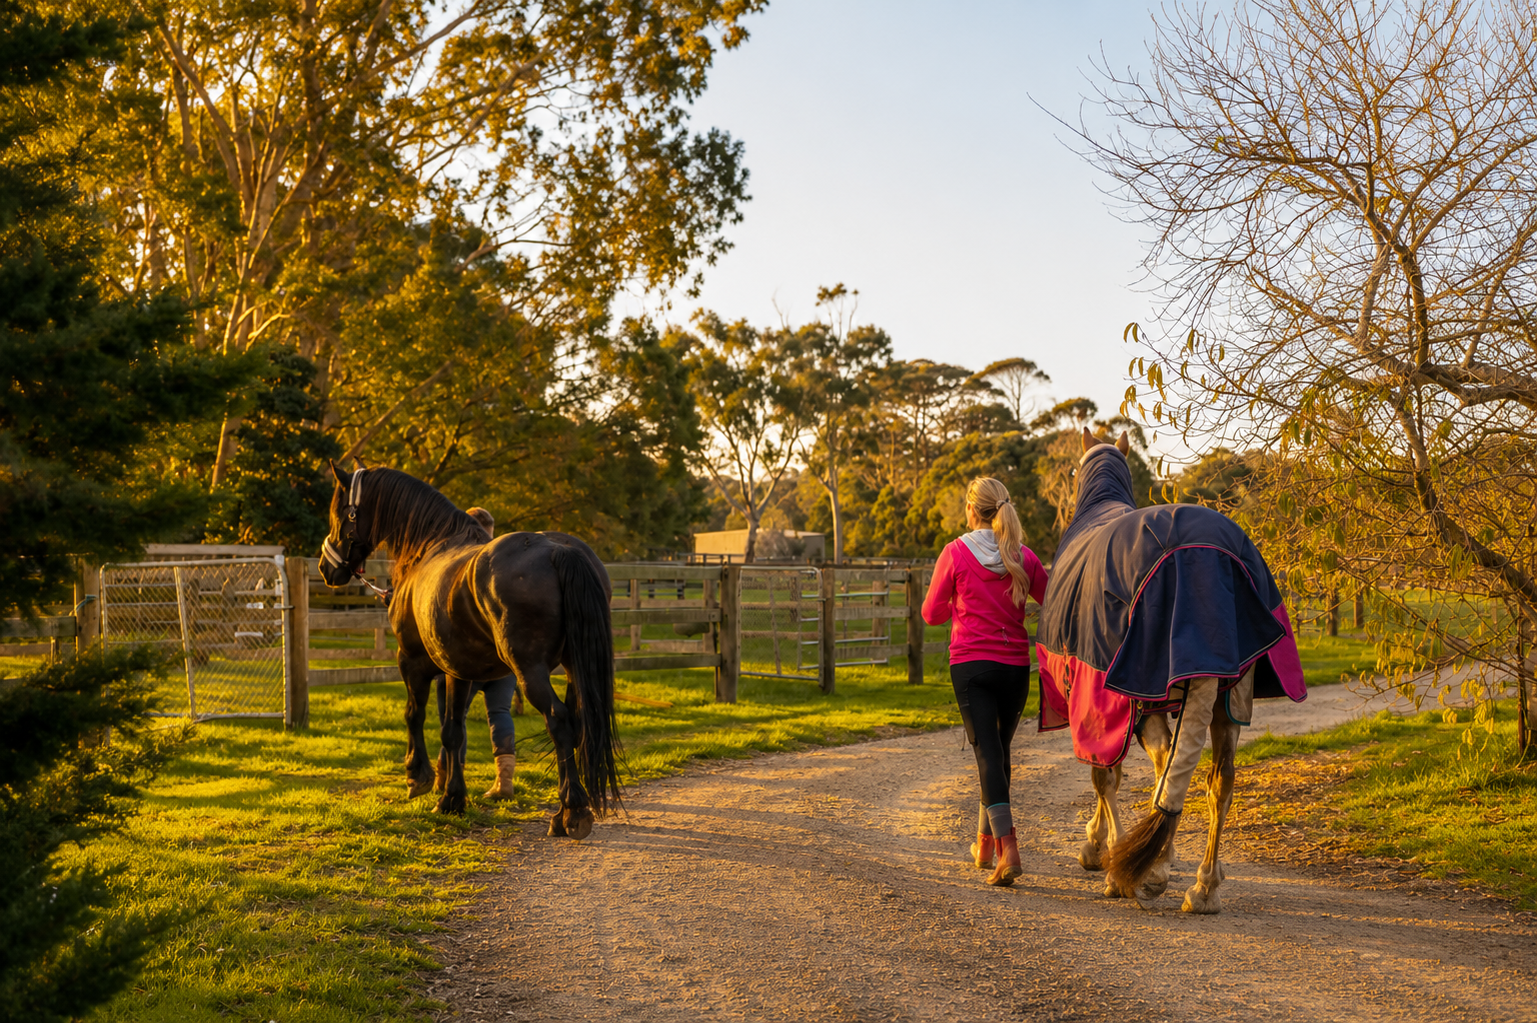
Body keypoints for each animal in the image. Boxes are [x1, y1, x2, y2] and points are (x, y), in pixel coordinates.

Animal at [315, 463, 620, 836]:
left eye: (340, 513)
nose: (326, 568)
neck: (430, 545)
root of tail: (558, 550)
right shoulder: (458, 670)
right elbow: (453, 732)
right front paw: (453, 798)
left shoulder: (412, 661)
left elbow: (414, 715)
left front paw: (418, 776)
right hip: (576, 666)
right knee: (576, 724)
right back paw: (562, 813)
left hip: (530, 671)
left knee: (558, 721)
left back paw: (573, 812)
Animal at [1035, 429, 1306, 913]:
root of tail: (1203, 558)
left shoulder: (1104, 702)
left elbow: (1106, 775)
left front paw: (1103, 850)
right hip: (1227, 698)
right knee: (1220, 782)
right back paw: (1204, 886)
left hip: (1142, 698)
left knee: (1164, 767)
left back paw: (1147, 870)